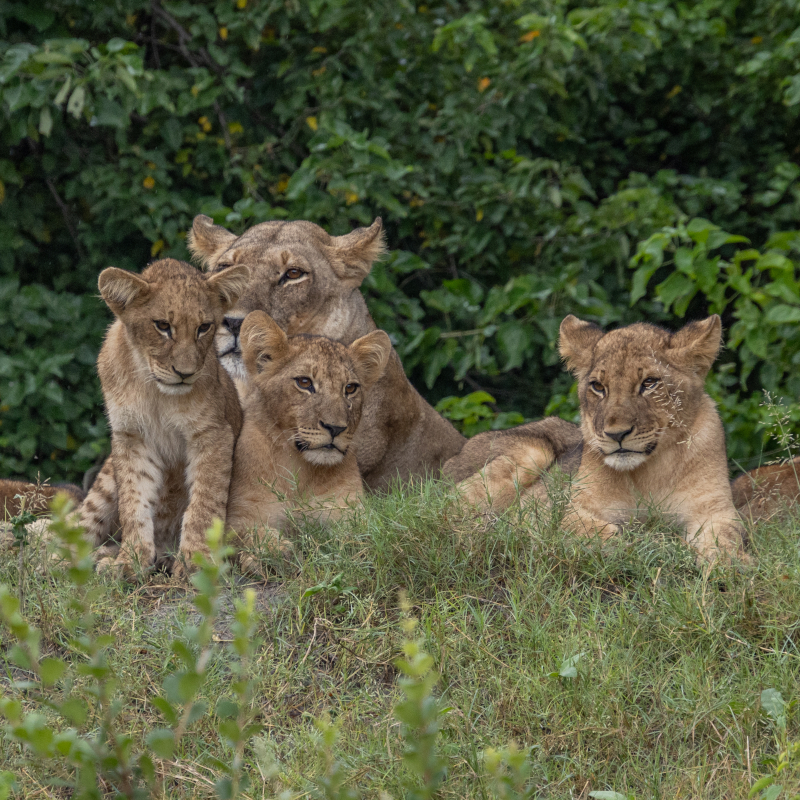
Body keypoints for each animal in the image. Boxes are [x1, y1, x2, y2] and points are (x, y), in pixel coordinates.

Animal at [80, 258, 249, 578]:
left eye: (204, 327)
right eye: (162, 326)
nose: (185, 373)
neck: (153, 390)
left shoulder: (213, 433)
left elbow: (204, 502)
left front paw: (196, 562)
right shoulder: (131, 437)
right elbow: (134, 502)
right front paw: (130, 561)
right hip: (106, 478)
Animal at [225, 311, 391, 570]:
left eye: (350, 388)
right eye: (304, 383)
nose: (335, 428)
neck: (299, 469)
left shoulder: (348, 508)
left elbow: (365, 530)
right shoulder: (235, 516)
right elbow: (248, 533)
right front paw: (275, 551)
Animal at [444, 314, 750, 565]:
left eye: (649, 383)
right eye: (598, 387)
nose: (617, 434)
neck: (650, 472)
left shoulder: (716, 510)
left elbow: (726, 537)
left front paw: (730, 562)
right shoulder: (560, 510)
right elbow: (605, 534)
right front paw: (655, 546)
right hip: (532, 452)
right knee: (447, 515)